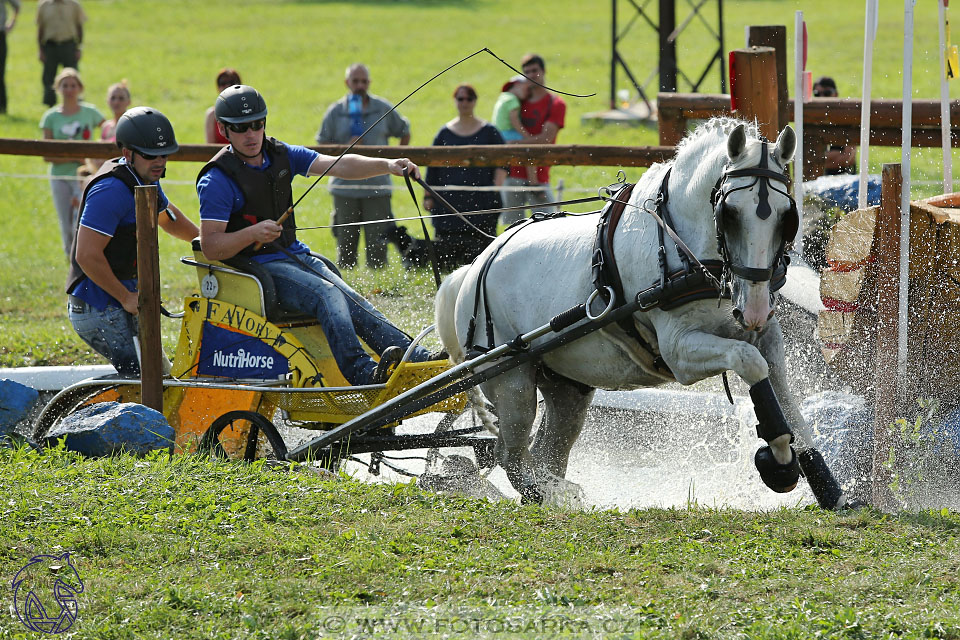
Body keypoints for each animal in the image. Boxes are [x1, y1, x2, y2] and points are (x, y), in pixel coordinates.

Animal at [436, 119, 848, 510]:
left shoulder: (766, 335)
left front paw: (827, 486)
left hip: (566, 387)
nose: (755, 309)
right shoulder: (680, 352)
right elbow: (750, 362)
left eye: (786, 217)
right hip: (513, 384)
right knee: (513, 459)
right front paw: (780, 461)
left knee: (546, 454)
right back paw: (550, 494)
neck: (692, 253)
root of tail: (474, 267)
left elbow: (787, 398)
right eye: (729, 214)